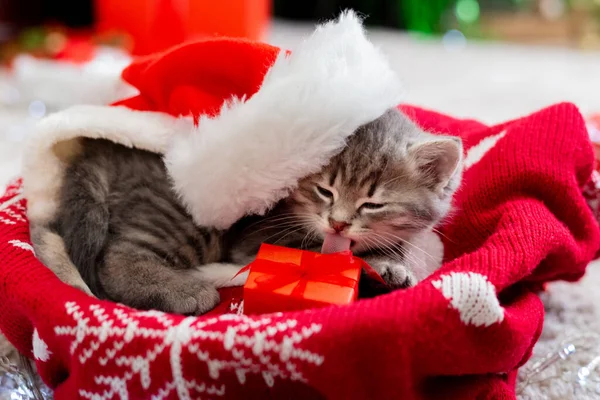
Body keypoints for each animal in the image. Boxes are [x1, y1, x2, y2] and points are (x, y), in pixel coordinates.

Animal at [43, 108, 464, 314]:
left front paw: (395, 259)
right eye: (324, 191)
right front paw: (380, 264)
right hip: (185, 210)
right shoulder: (258, 234)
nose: (338, 222)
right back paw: (185, 291)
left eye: (372, 204)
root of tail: (104, 149)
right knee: (117, 256)